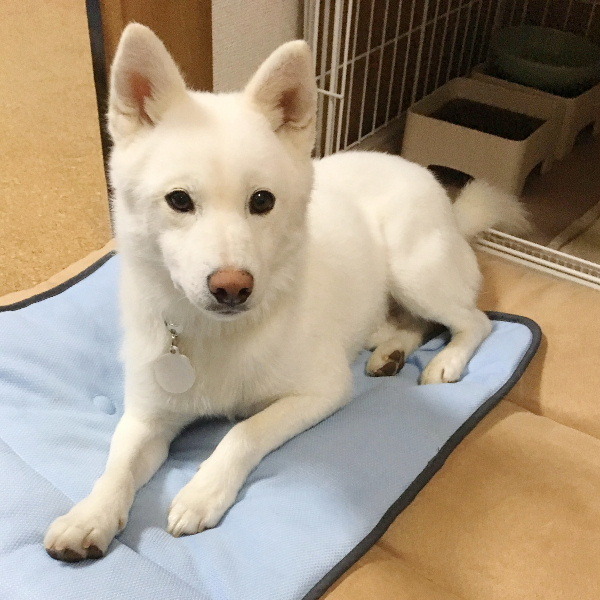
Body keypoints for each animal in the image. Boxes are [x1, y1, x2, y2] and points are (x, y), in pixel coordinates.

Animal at [44, 24, 527, 561]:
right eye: (178, 200)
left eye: (262, 200)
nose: (232, 287)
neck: (216, 335)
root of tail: (434, 188)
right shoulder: (146, 417)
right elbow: (116, 465)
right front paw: (90, 515)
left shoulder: (323, 390)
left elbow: (242, 430)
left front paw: (202, 491)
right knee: (416, 322)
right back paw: (390, 350)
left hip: (414, 270)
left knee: (474, 320)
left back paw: (446, 361)